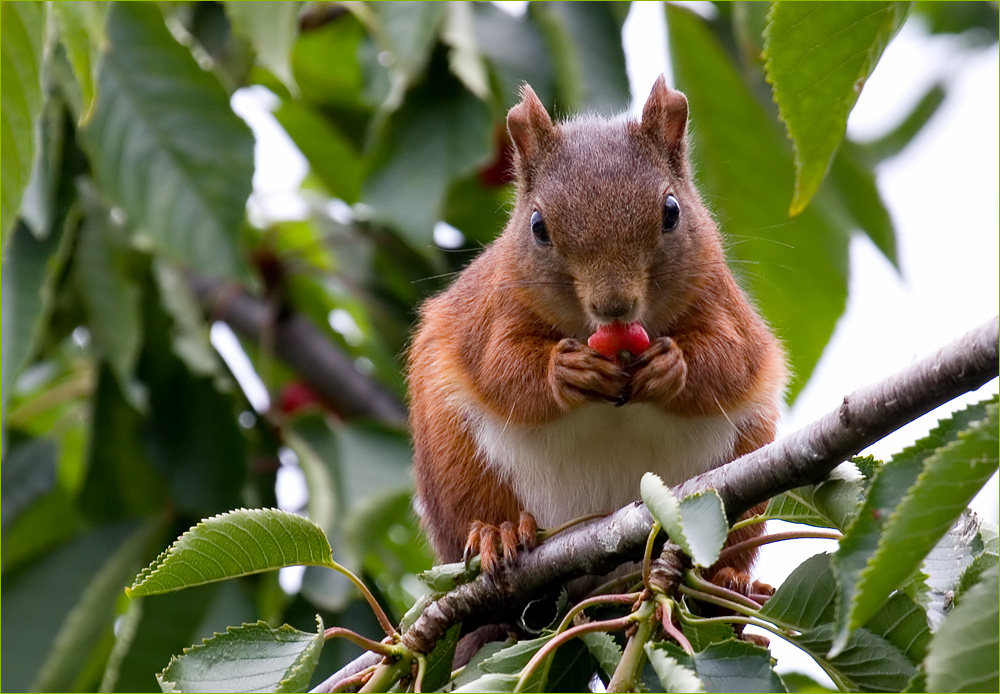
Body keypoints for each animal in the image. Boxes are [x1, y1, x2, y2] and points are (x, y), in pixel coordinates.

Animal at [406, 76, 788, 584]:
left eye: (672, 210)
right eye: (537, 226)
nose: (613, 307)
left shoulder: (721, 302)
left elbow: (730, 362)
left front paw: (671, 366)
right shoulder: (491, 313)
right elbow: (501, 367)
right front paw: (566, 370)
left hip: (746, 465)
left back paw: (728, 578)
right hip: (456, 459)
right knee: (479, 505)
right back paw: (498, 532)